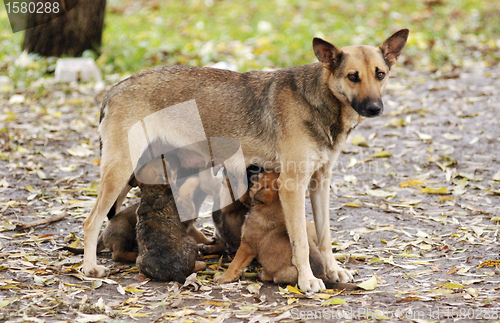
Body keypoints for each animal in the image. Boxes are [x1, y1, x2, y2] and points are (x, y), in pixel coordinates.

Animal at [83, 29, 406, 294]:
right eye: (353, 76)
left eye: (380, 74)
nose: (375, 108)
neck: (318, 102)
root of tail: (114, 89)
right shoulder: (293, 187)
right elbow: (300, 241)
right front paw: (307, 280)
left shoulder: (320, 184)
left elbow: (325, 237)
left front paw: (333, 270)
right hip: (120, 172)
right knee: (91, 220)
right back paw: (89, 268)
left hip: (134, 176)